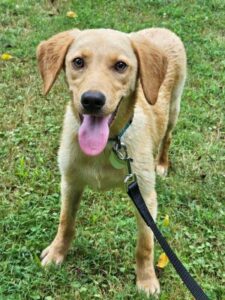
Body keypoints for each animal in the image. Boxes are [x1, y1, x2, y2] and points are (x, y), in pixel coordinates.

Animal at [37, 27, 186, 296]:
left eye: (120, 66)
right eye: (78, 62)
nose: (92, 100)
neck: (108, 143)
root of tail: (162, 29)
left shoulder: (145, 194)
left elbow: (146, 244)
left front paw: (146, 280)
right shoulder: (70, 183)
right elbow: (65, 223)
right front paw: (56, 253)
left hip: (174, 108)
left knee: (167, 137)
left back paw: (162, 163)